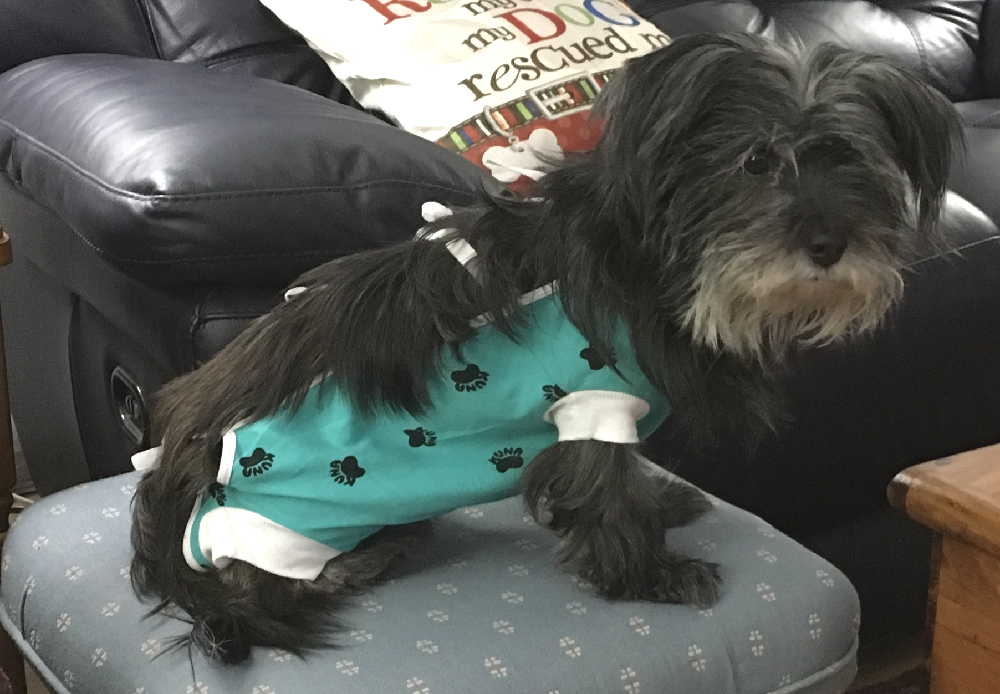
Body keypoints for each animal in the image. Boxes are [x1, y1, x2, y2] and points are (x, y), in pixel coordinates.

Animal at [130, 33, 962, 664]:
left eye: (852, 161)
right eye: (757, 161)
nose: (829, 245)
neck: (655, 256)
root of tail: (178, 472)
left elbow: (629, 483)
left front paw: (663, 506)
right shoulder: (593, 403)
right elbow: (610, 494)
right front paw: (648, 573)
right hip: (286, 524)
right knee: (254, 585)